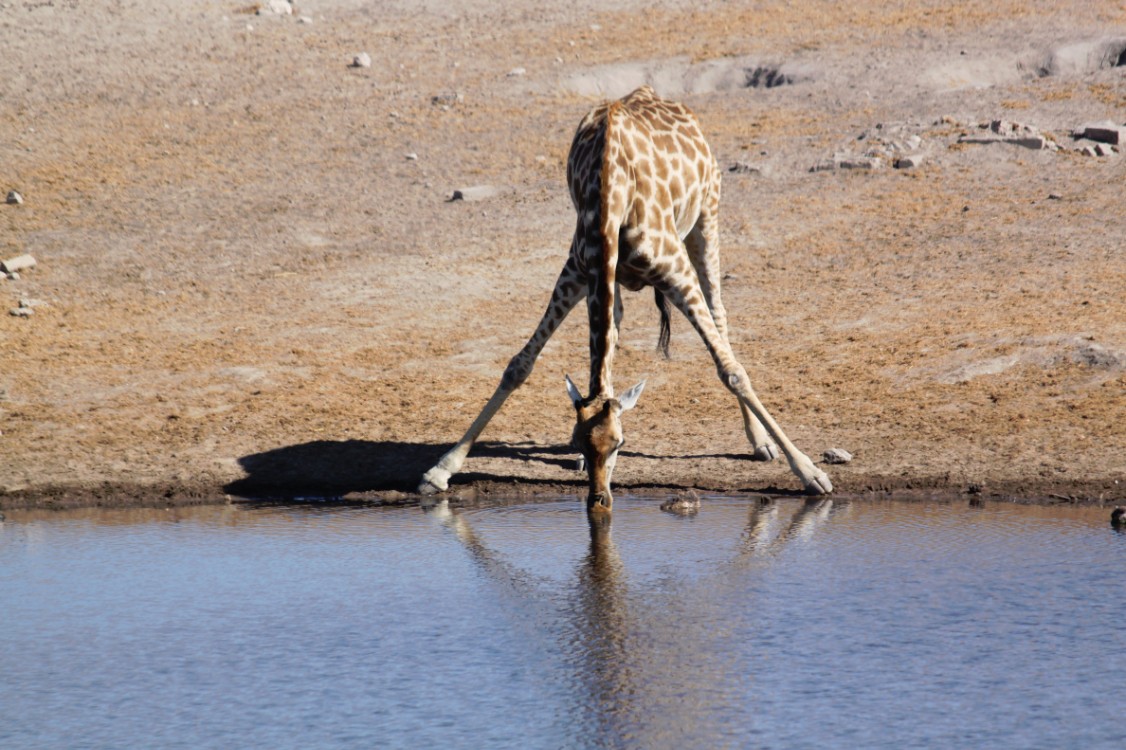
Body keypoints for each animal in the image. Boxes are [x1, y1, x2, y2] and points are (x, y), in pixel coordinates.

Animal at [418, 84, 833, 511]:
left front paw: (810, 472)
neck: (612, 191)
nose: (598, 499)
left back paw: (760, 443)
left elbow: (731, 370)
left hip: (706, 217)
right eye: (578, 440)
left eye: (621, 443)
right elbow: (520, 365)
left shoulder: (676, 272)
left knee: (720, 316)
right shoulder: (578, 270)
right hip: (611, 277)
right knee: (614, 325)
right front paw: (441, 469)